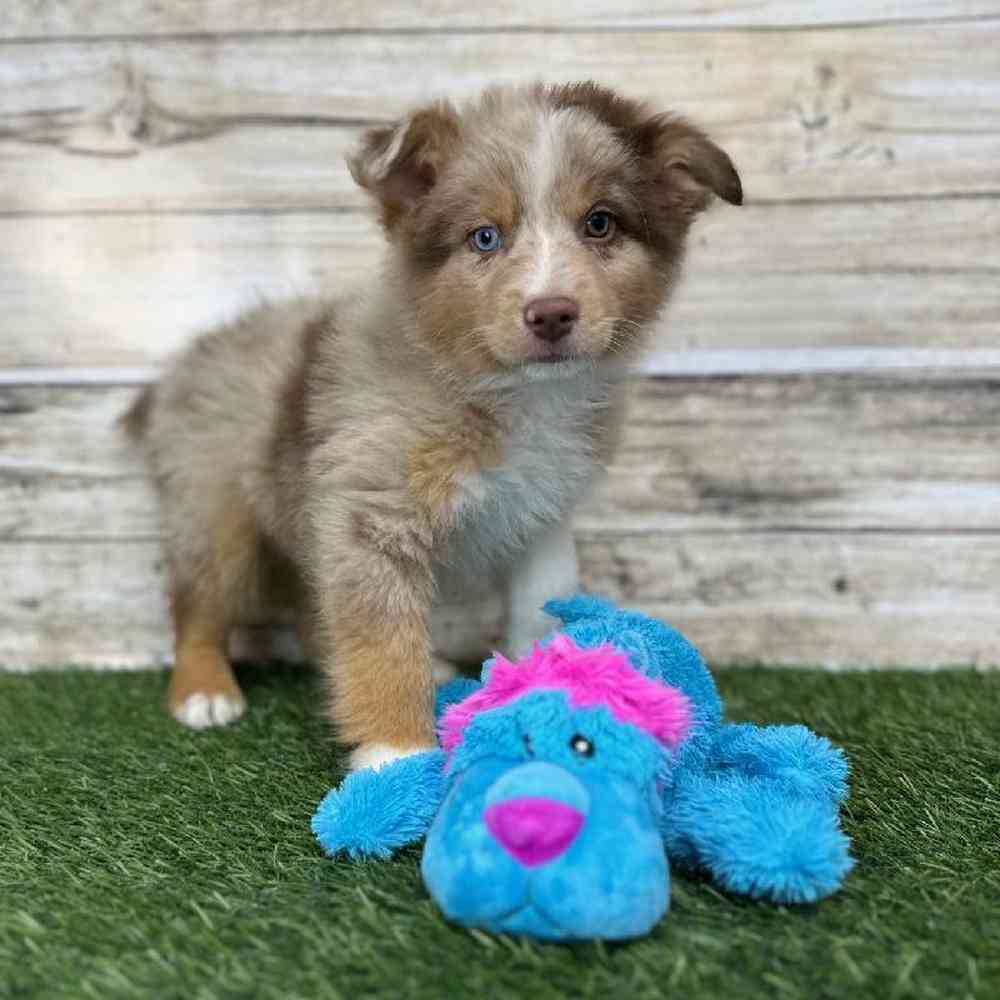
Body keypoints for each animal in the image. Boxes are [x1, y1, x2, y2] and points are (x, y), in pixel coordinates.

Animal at [123, 82, 744, 768]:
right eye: (484, 237)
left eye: (600, 223)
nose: (552, 313)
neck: (507, 392)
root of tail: (192, 356)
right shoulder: (373, 517)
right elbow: (380, 640)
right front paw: (394, 753)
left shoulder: (544, 516)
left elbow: (537, 611)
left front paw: (544, 697)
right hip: (213, 507)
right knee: (198, 603)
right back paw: (204, 690)